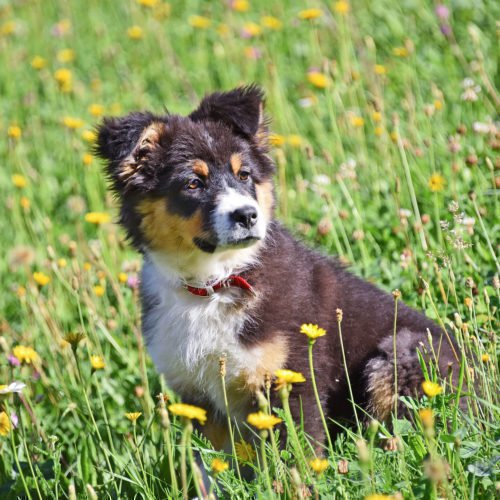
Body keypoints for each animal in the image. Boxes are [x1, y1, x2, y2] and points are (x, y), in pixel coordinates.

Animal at [96, 85, 460, 450]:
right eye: (193, 184)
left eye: (244, 175)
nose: (247, 215)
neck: (214, 284)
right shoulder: (198, 397)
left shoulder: (291, 377)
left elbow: (297, 452)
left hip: (402, 353)